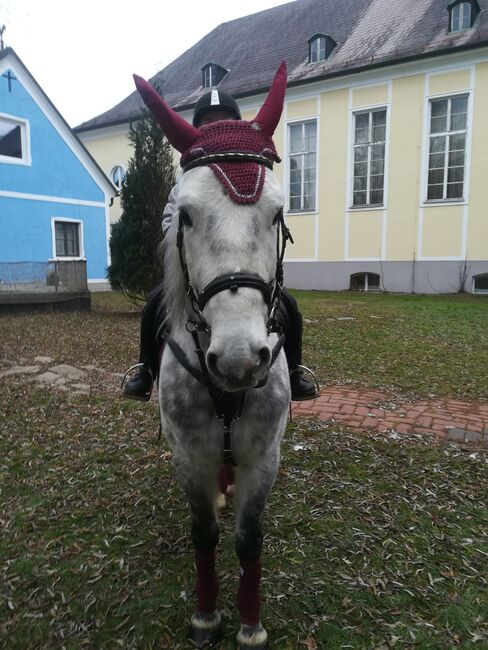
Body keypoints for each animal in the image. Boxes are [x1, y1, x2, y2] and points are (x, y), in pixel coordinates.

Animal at [133, 63, 292, 644]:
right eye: (185, 215)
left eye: (277, 213)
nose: (240, 358)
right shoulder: (188, 455)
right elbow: (203, 534)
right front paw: (206, 616)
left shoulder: (263, 457)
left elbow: (249, 539)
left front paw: (250, 624)